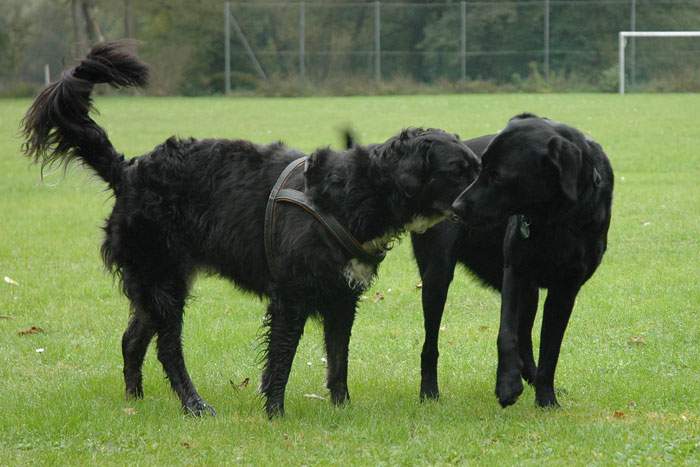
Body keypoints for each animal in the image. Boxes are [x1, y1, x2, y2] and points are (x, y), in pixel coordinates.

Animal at [23, 42, 482, 418]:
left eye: (478, 167)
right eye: (460, 171)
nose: (485, 199)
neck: (358, 190)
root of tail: (129, 169)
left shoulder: (341, 297)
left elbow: (338, 360)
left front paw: (342, 408)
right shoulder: (291, 296)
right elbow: (282, 358)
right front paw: (275, 412)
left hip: (154, 283)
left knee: (132, 339)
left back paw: (135, 401)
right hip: (164, 281)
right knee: (168, 349)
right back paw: (193, 404)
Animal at [440, 115, 616, 408]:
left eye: (498, 175)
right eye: (482, 166)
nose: (456, 207)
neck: (553, 220)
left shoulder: (565, 289)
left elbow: (551, 348)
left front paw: (546, 399)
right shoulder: (515, 272)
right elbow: (506, 334)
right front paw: (507, 385)